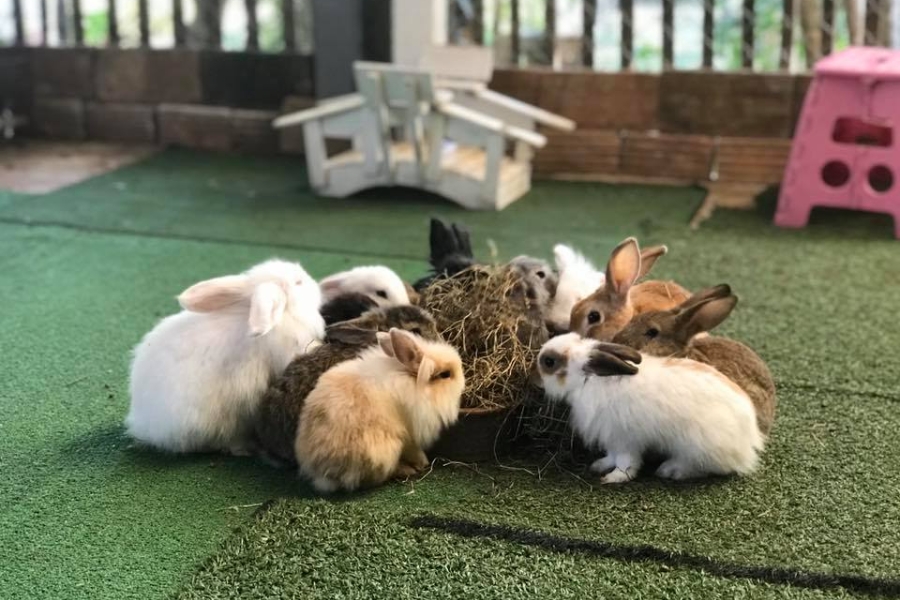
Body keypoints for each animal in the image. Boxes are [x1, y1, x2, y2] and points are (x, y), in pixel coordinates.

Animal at [296, 328, 464, 492]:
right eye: (445, 374)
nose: (463, 382)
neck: (411, 382)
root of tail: (322, 472)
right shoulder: (410, 436)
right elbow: (414, 450)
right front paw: (423, 462)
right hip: (385, 450)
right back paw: (407, 470)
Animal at [536, 332, 764, 482]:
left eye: (549, 362)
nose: (536, 361)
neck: (589, 380)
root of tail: (750, 435)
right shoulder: (612, 439)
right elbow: (611, 457)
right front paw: (598, 466)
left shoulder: (624, 439)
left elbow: (626, 463)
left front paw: (613, 478)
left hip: (697, 444)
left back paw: (671, 470)